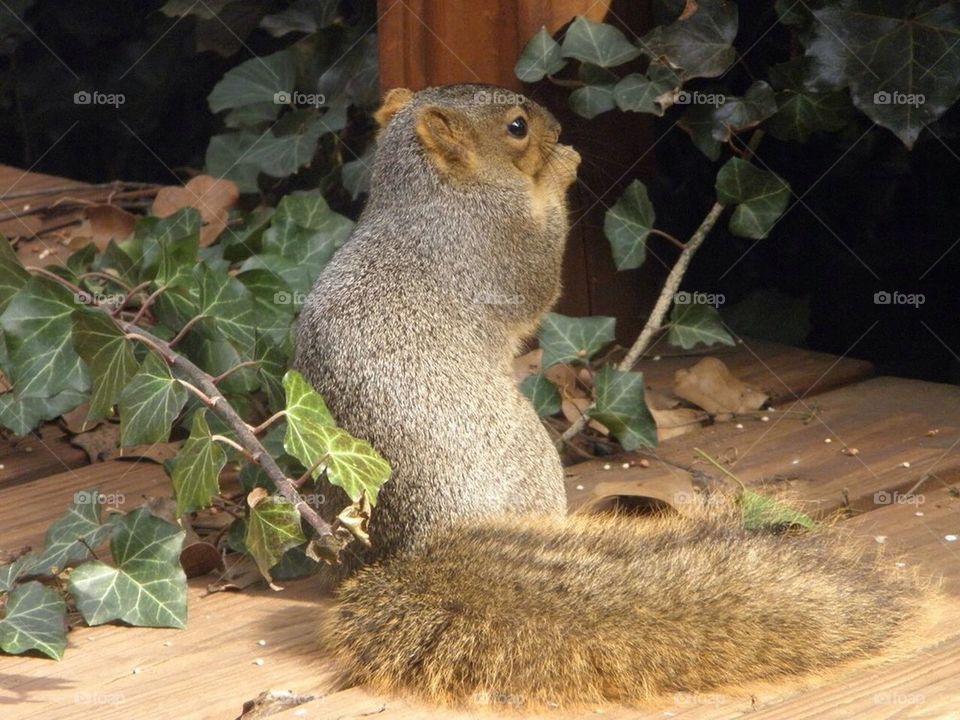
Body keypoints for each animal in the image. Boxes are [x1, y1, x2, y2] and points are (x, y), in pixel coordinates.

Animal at [294, 86, 924, 708]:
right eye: (517, 127)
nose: (556, 127)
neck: (428, 192)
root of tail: (412, 549)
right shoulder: (494, 244)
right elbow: (539, 278)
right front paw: (561, 169)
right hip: (530, 459)